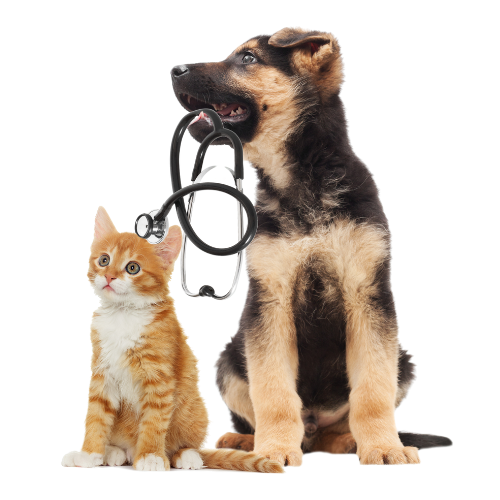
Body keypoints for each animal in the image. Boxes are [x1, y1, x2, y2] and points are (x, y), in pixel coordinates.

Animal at [59, 205, 284, 474]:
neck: (123, 315)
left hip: (195, 408)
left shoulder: (159, 377)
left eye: (132, 268)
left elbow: (154, 420)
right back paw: (113, 452)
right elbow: (96, 415)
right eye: (104, 260)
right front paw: (89, 453)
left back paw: (185, 456)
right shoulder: (102, 372)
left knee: (186, 444)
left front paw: (149, 456)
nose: (110, 277)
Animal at [170, 26, 452, 466]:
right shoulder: (271, 301)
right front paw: (274, 450)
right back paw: (247, 441)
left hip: (404, 363)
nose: (175, 70)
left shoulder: (368, 296)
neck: (304, 179)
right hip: (228, 358)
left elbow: (373, 391)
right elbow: (272, 391)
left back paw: (347, 440)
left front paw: (383, 446)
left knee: (338, 423)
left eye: (248, 59)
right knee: (261, 412)